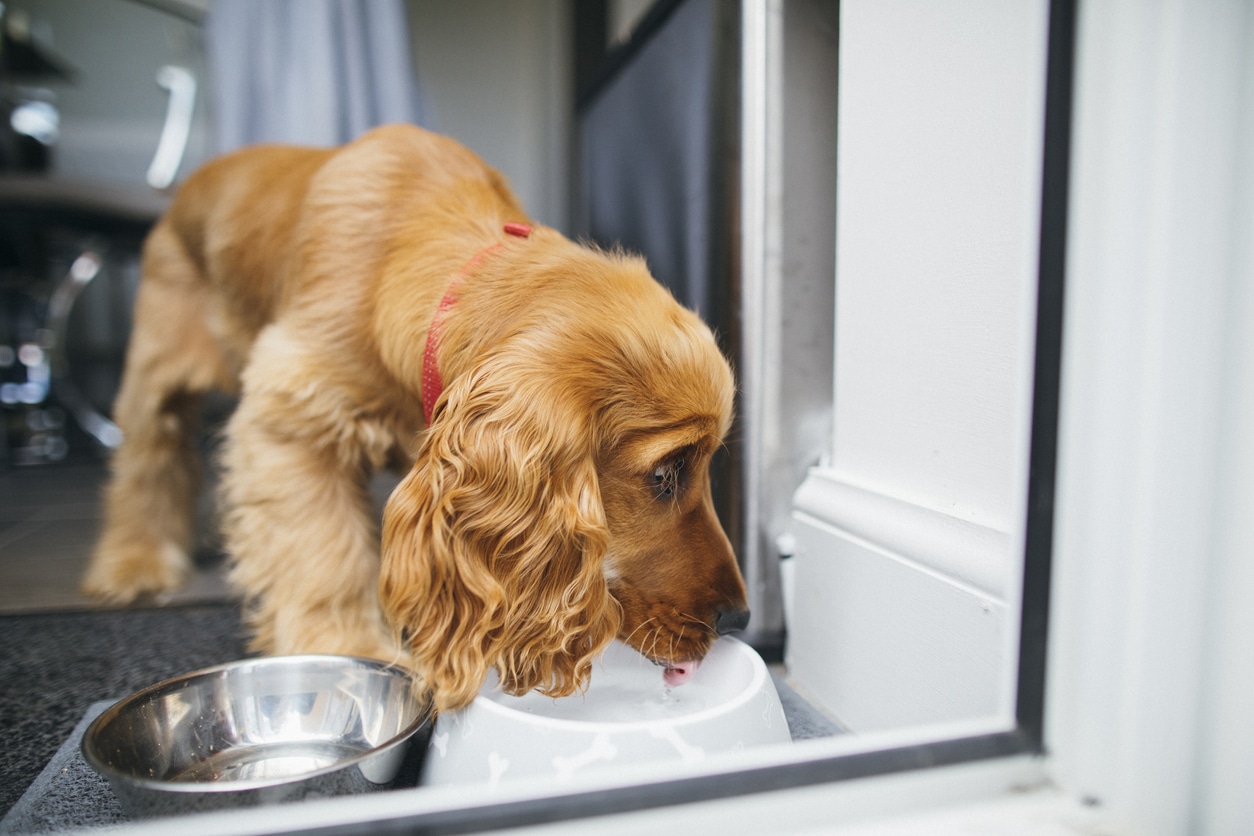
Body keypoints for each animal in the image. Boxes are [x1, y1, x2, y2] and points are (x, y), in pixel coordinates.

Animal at [83, 124, 747, 711]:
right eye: (664, 474)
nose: (740, 618)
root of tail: (193, 182)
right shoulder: (293, 417)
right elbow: (321, 553)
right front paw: (345, 648)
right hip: (157, 363)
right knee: (146, 457)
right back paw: (136, 563)